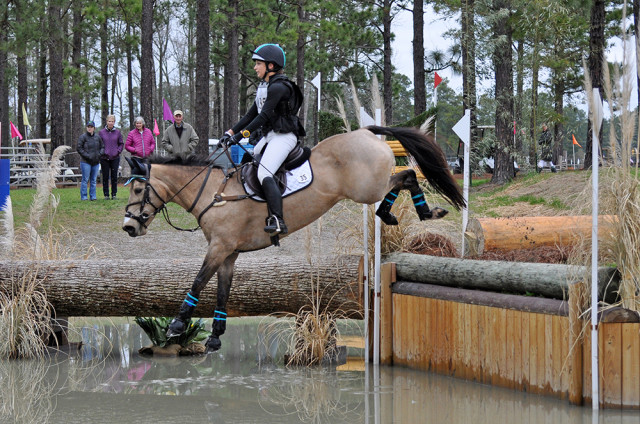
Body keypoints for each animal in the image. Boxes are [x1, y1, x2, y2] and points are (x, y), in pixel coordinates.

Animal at [124, 125, 464, 352]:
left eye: (139, 189)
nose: (129, 227)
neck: (212, 194)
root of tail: (366, 132)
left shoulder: (219, 247)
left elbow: (197, 281)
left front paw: (177, 326)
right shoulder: (229, 252)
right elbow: (221, 291)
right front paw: (216, 336)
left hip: (367, 187)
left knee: (407, 175)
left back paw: (417, 212)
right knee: (405, 178)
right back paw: (402, 213)